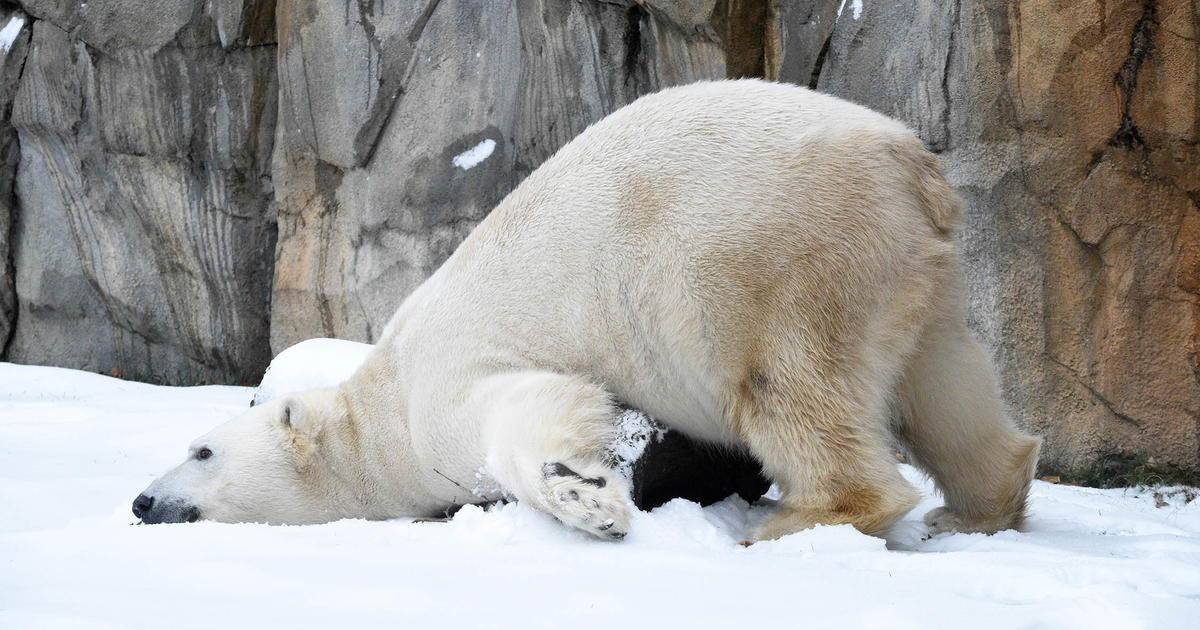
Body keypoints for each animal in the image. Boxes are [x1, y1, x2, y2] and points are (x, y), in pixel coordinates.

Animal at [136, 79, 1041, 540]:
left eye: (201, 450)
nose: (143, 502)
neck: (376, 406)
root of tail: (909, 164)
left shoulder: (444, 388)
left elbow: (532, 408)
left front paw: (589, 499)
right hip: (904, 271)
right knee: (943, 383)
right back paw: (979, 506)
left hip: (776, 258)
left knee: (787, 386)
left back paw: (801, 518)